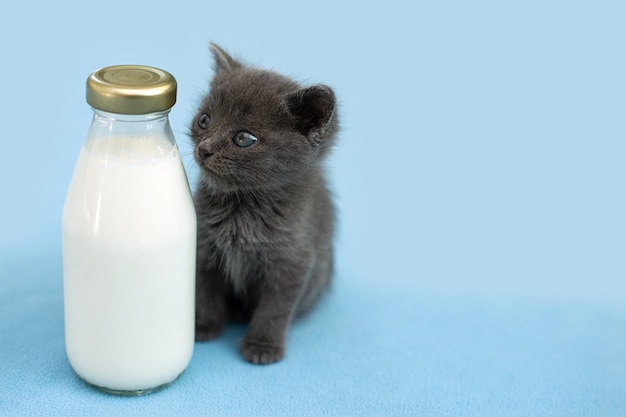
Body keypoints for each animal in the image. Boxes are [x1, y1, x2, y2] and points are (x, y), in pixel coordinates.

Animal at [190, 44, 338, 362]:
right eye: (205, 120)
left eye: (244, 138)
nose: (204, 149)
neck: (241, 207)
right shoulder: (203, 247)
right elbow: (204, 290)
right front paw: (202, 326)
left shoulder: (293, 262)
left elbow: (275, 308)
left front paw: (263, 346)